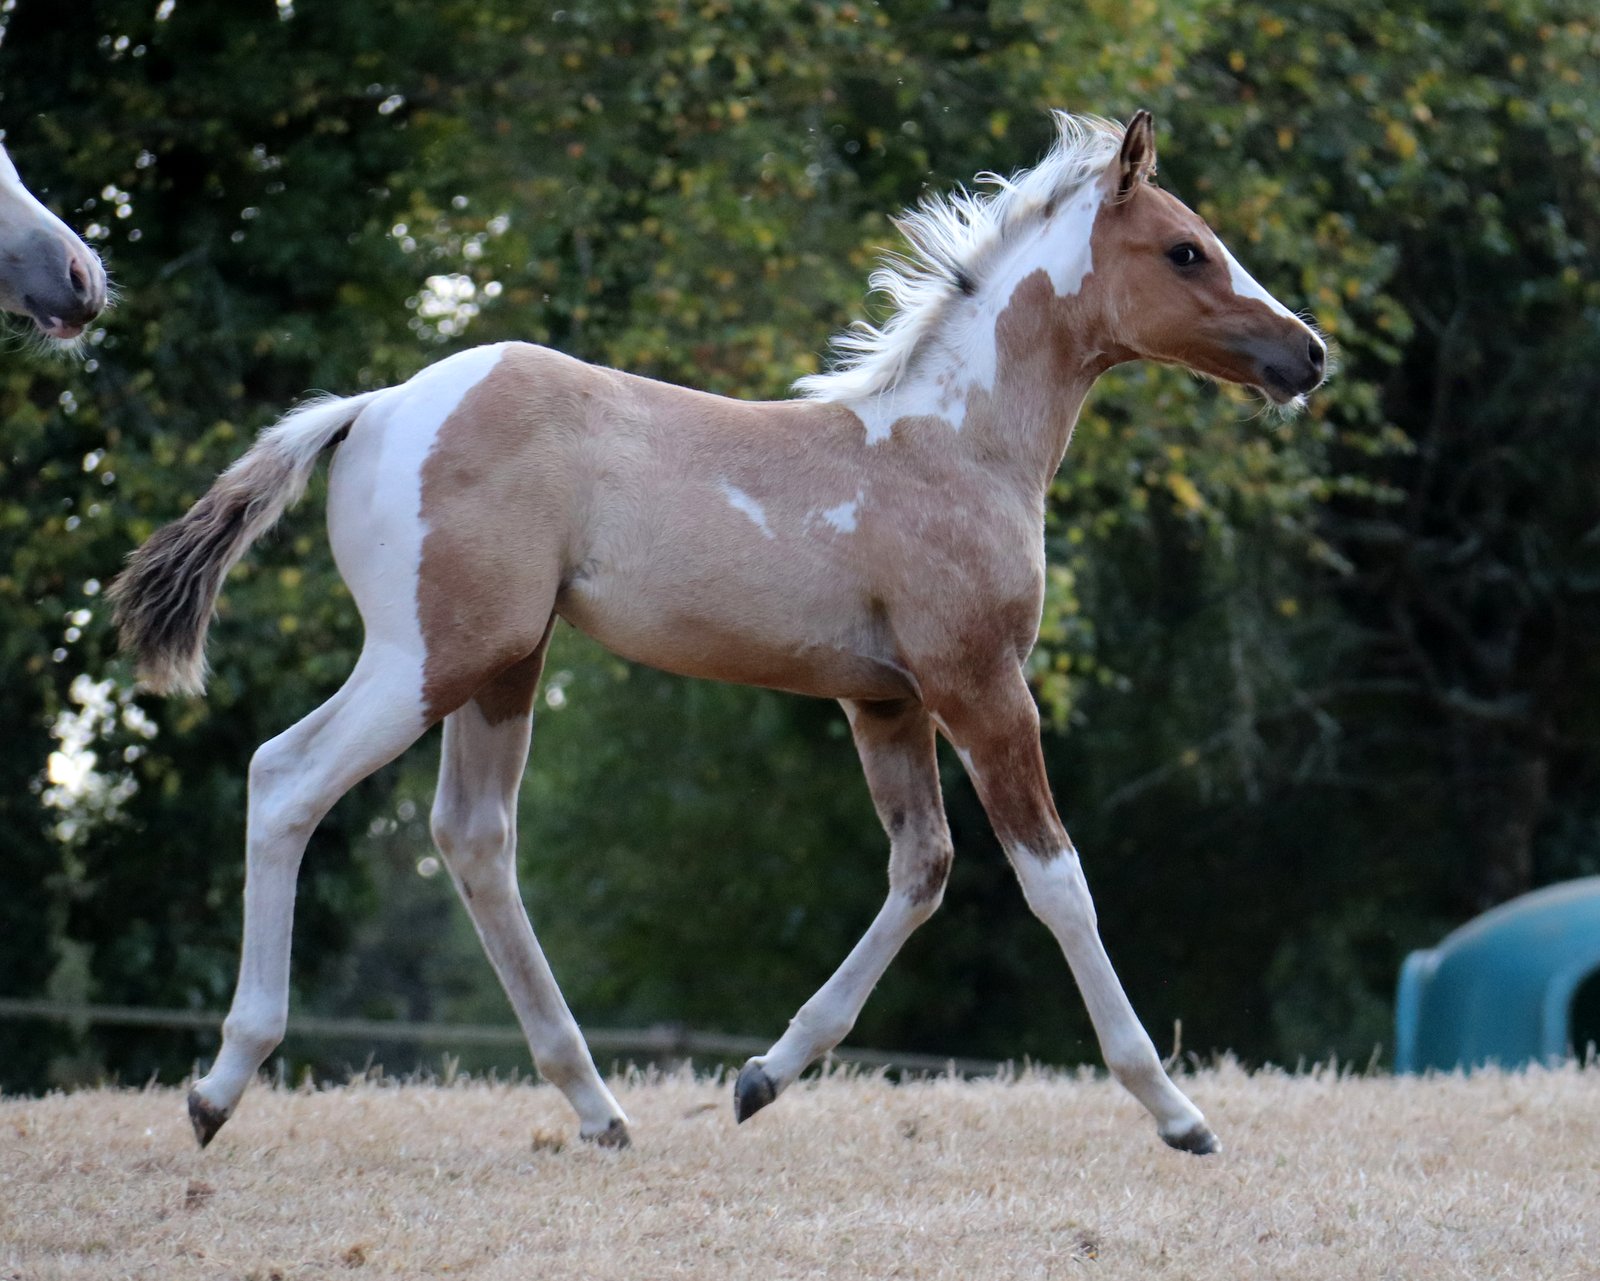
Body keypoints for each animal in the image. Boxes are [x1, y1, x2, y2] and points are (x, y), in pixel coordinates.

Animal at [111, 110, 1325, 1156]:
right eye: (1185, 251)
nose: (1308, 356)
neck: (952, 445)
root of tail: (372, 405)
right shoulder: (978, 683)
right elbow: (1056, 882)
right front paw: (1177, 1112)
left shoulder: (883, 700)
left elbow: (920, 870)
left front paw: (761, 1077)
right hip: (425, 657)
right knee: (286, 778)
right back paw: (219, 1086)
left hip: (506, 664)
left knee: (474, 836)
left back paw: (597, 1108)